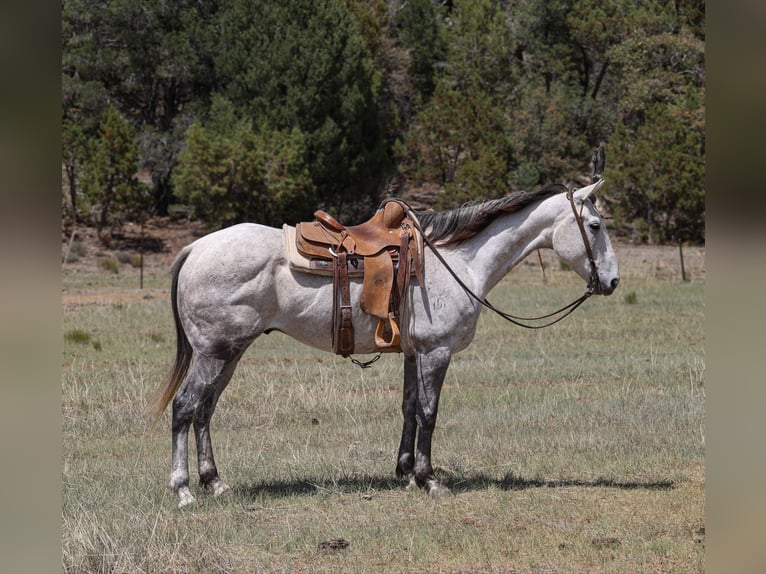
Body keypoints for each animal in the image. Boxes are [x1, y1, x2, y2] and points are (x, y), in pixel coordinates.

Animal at [148, 180, 620, 507]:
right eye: (595, 225)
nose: (613, 282)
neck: (458, 262)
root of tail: (194, 248)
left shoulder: (414, 353)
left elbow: (409, 409)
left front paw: (406, 473)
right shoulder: (436, 353)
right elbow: (429, 414)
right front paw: (430, 480)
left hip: (229, 353)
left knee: (205, 411)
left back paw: (215, 482)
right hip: (215, 353)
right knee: (186, 408)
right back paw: (183, 490)